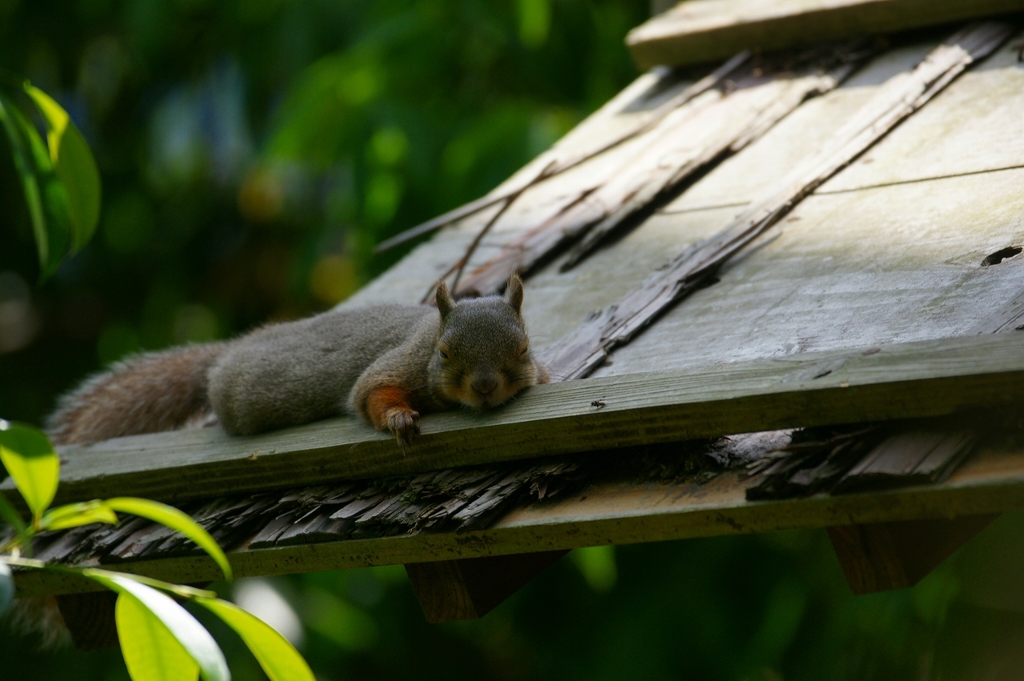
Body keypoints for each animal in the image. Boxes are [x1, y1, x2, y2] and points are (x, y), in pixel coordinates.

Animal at [47, 274, 548, 448]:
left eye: (524, 349)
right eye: (443, 354)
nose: (484, 387)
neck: (426, 340)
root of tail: (228, 354)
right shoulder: (399, 363)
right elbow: (369, 393)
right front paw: (400, 419)